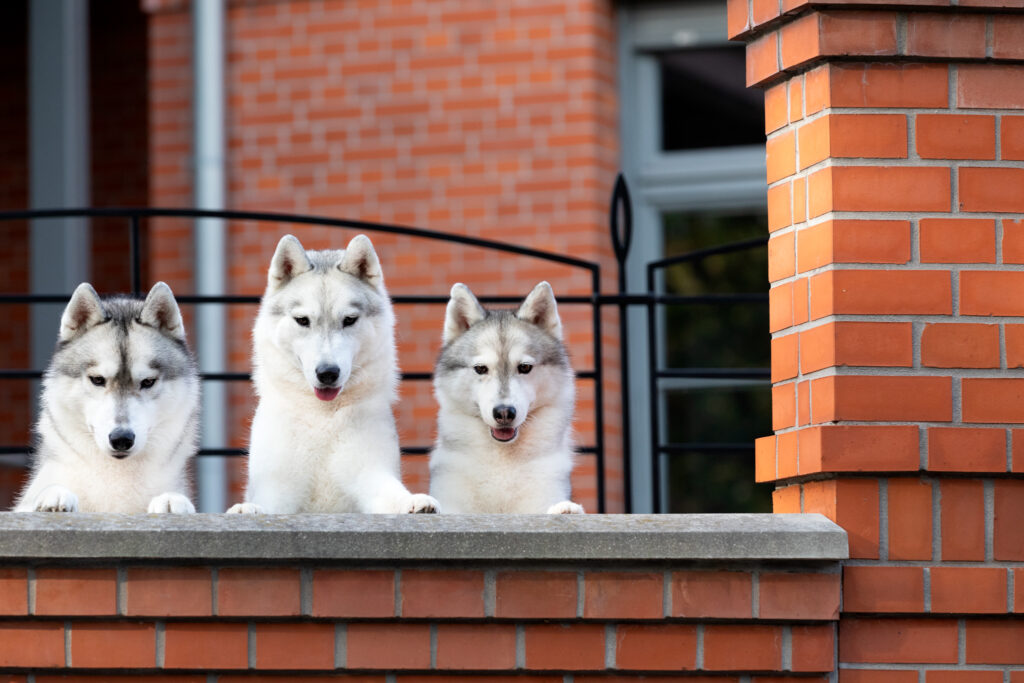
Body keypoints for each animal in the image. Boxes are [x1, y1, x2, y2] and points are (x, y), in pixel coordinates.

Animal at [13, 282, 199, 513]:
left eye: (147, 382)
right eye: (97, 380)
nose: (121, 438)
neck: (116, 475)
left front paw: (171, 500)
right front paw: (54, 495)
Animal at [227, 234, 439, 514]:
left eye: (349, 320)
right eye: (302, 320)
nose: (327, 373)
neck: (323, 419)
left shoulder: (371, 472)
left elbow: (391, 492)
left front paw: (412, 501)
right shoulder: (277, 488)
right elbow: (266, 505)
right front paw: (247, 509)